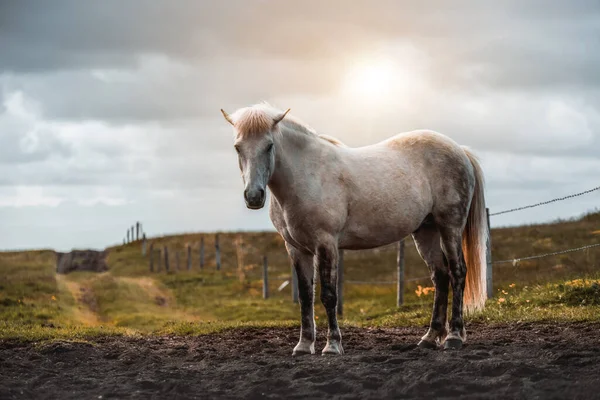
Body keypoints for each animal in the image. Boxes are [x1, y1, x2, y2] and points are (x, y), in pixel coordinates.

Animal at [220, 104, 488, 356]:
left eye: (269, 146)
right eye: (238, 147)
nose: (254, 196)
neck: (306, 175)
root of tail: (459, 150)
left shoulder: (326, 243)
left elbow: (328, 295)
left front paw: (332, 346)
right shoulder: (296, 249)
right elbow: (306, 297)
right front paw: (304, 345)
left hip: (449, 226)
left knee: (457, 272)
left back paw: (453, 336)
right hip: (426, 231)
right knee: (440, 276)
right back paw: (430, 338)